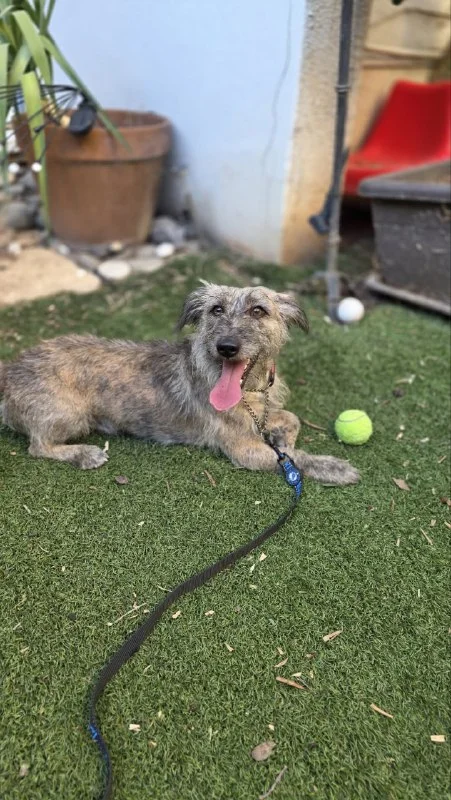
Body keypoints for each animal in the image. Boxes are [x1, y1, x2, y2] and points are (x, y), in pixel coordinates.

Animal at [0, 284, 359, 485]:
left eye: (259, 310)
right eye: (216, 310)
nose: (226, 347)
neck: (248, 390)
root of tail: (9, 370)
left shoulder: (263, 412)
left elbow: (291, 421)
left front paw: (283, 437)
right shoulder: (243, 450)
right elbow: (295, 458)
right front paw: (332, 467)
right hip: (71, 414)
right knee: (38, 446)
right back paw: (84, 454)